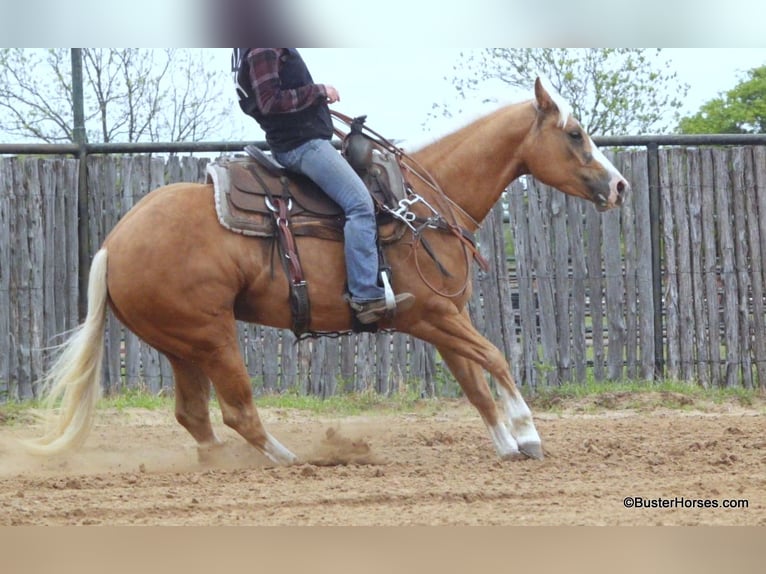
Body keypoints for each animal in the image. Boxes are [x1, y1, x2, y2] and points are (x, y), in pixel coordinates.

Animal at [27, 77, 632, 464]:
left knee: (194, 416)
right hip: (213, 336)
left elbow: (474, 381)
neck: (420, 202)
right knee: (238, 412)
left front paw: (507, 445)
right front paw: (528, 435)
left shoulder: (442, 319)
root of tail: (112, 244)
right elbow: (497, 360)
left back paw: (223, 464)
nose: (620, 186)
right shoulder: (432, 314)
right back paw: (291, 460)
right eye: (575, 134)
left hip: (183, 346)